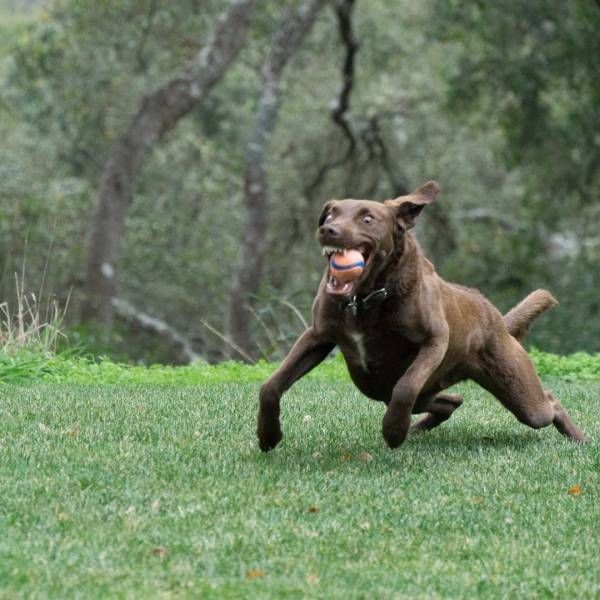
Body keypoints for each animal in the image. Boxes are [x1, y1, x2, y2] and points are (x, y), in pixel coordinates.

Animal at [255, 180, 584, 448]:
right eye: (331, 215)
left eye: (367, 218)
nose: (327, 230)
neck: (365, 299)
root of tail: (499, 321)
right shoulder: (317, 337)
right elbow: (270, 386)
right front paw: (268, 435)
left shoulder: (434, 341)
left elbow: (406, 386)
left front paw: (393, 432)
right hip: (381, 386)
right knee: (450, 402)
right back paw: (417, 428)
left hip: (519, 392)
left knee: (548, 404)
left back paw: (579, 438)